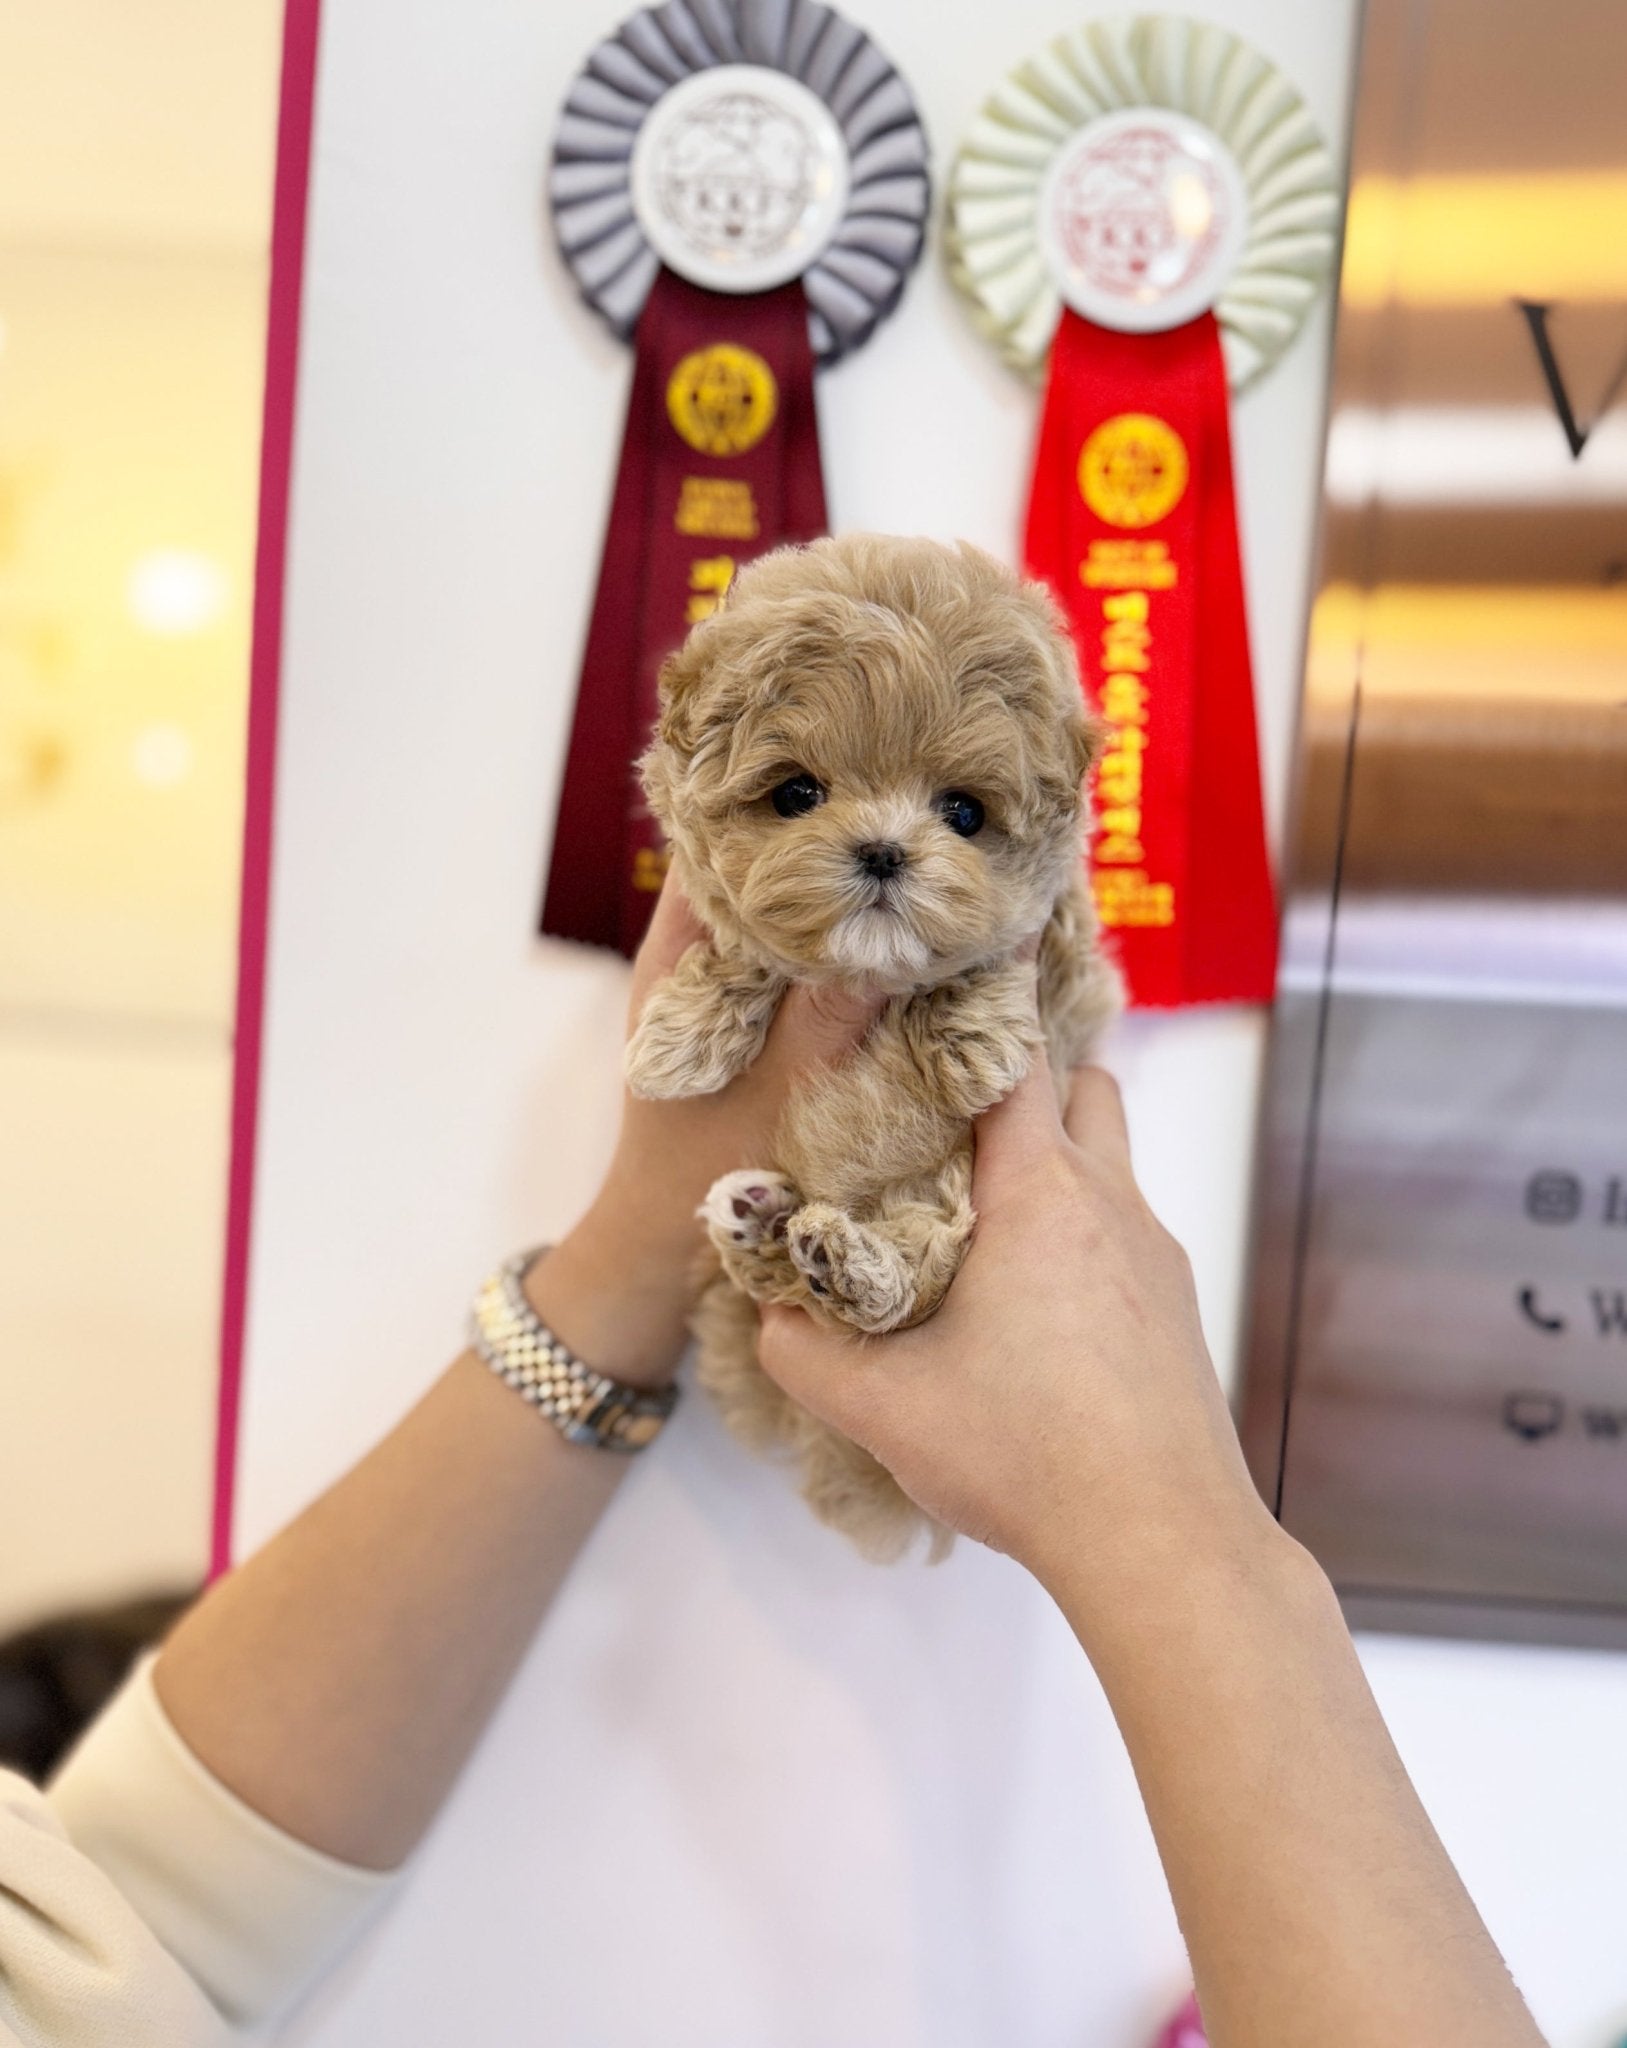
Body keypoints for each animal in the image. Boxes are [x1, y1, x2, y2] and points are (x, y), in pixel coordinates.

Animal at [622, 528, 1114, 1548]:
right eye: (795, 794)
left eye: (963, 811)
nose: (884, 851)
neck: (866, 979)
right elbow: (741, 951)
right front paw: (682, 1036)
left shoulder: (1065, 965)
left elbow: (996, 959)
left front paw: (968, 1040)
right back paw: (766, 1227)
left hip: (948, 1213)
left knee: (908, 1291)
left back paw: (843, 1265)